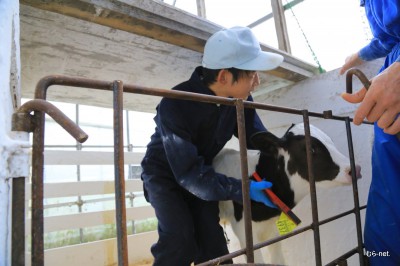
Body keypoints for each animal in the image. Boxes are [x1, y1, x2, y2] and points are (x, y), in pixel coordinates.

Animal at [214, 124, 360, 264]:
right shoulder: (244, 231)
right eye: (311, 149)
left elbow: (278, 261)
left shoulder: (273, 230)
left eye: (331, 141)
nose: (355, 169)